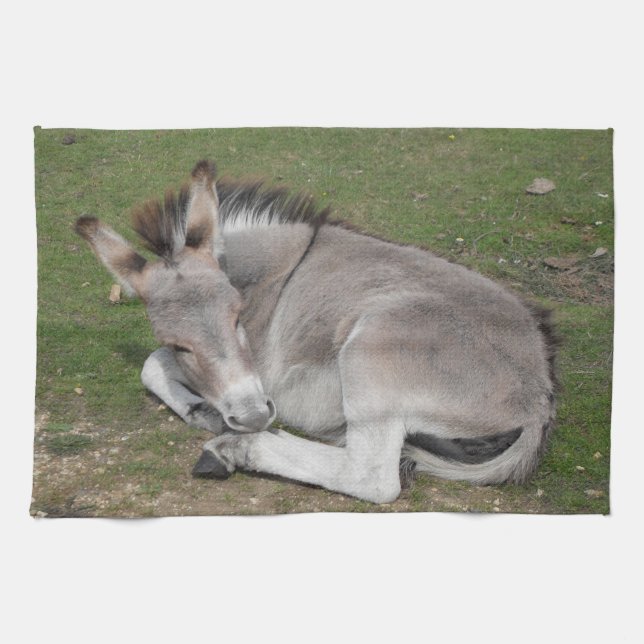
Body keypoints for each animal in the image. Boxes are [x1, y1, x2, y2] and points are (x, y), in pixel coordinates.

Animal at [75, 160, 557, 504]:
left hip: (372, 353)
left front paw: (210, 417)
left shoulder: (260, 370)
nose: (252, 416)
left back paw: (238, 449)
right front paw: (199, 409)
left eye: (238, 316)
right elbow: (153, 361)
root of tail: (539, 399)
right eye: (180, 343)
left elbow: (150, 361)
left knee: (371, 478)